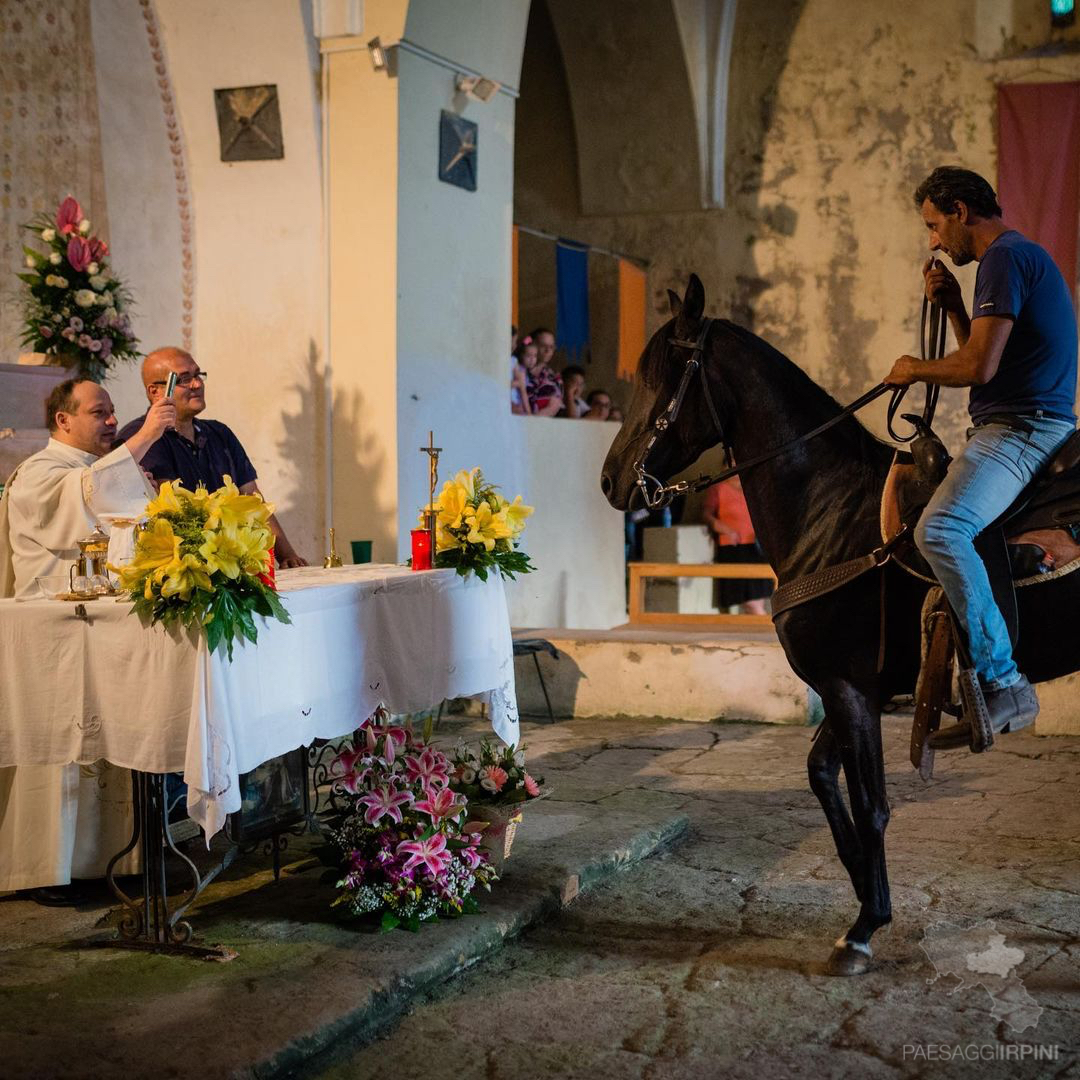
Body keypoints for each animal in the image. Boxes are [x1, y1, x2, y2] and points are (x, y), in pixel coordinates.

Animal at [600, 272, 1080, 980]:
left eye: (661, 375)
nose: (611, 482)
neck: (832, 510)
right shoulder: (851, 689)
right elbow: (821, 777)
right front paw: (862, 887)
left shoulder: (852, 691)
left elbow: (873, 805)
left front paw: (863, 929)